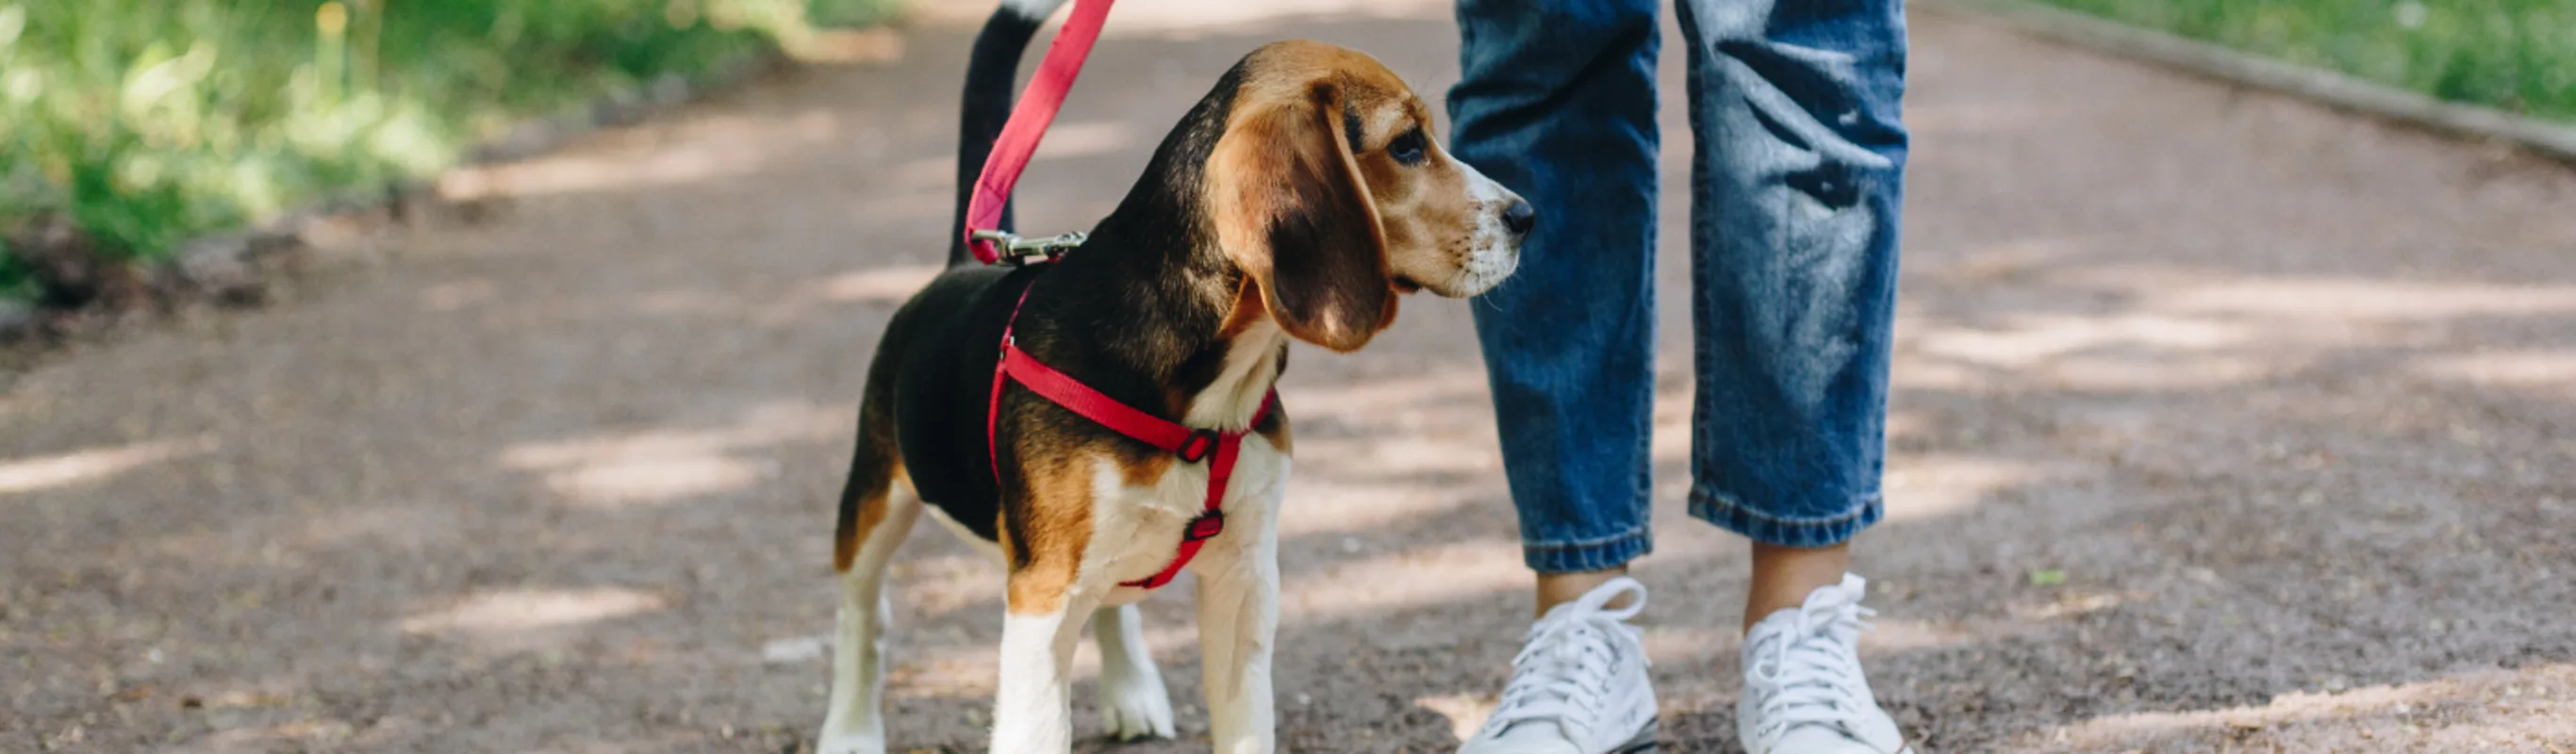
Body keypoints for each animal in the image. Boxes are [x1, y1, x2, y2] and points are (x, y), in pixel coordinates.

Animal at [814, 3, 1514, 746]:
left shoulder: (1245, 577)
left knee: (1112, 603)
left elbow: (1245, 722)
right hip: (874, 499)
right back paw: (850, 730)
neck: (1207, 394)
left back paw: (1132, 691)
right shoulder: (1041, 593)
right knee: (864, 616)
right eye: (1407, 145)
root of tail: (961, 265)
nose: (1527, 216)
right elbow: (1037, 725)